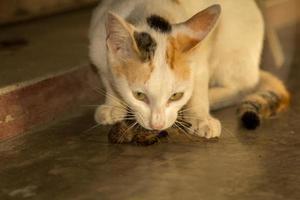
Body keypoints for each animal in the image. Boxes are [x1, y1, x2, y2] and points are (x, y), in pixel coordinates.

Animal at [88, 0, 290, 138]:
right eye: (139, 95)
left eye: (176, 96)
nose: (157, 125)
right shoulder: (97, 47)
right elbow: (108, 78)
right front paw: (113, 104)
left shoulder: (201, 61)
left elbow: (198, 88)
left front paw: (201, 117)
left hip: (235, 51)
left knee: (243, 86)